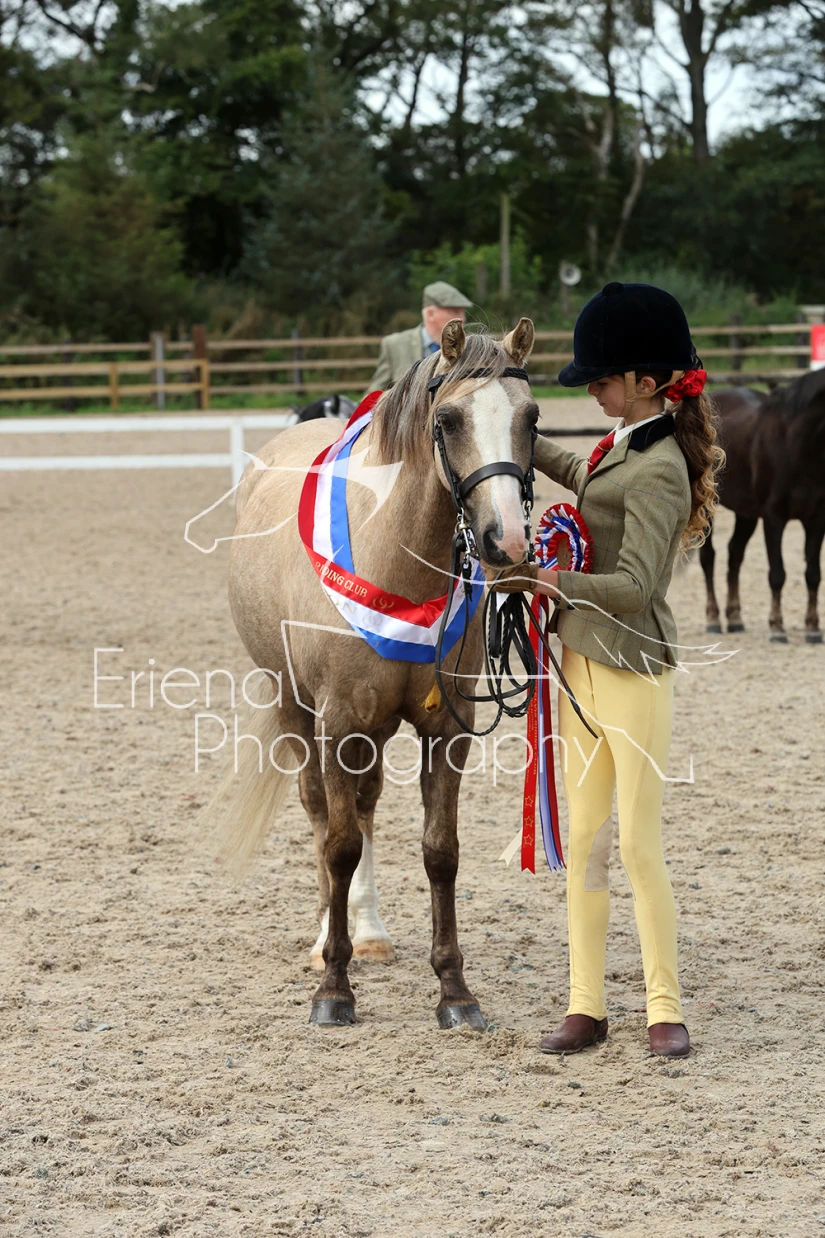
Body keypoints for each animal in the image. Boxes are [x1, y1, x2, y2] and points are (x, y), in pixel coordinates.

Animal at [207, 319, 539, 1029]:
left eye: (531, 417)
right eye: (447, 420)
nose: (505, 542)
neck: (397, 560)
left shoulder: (447, 731)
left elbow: (440, 851)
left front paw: (455, 992)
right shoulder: (336, 723)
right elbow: (336, 845)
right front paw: (334, 989)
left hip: (374, 731)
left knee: (363, 807)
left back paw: (370, 932)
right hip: (298, 709)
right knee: (322, 813)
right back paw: (326, 940)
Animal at [699, 370, 825, 643]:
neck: (797, 444)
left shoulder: (816, 519)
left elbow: (813, 574)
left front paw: (813, 628)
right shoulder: (773, 517)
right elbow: (777, 574)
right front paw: (777, 627)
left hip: (746, 513)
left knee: (735, 554)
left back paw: (735, 619)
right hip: (707, 508)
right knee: (708, 558)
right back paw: (713, 619)